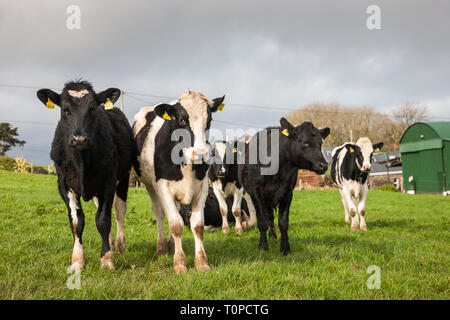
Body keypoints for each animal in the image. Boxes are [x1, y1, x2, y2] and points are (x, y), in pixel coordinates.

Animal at [36, 80, 137, 270]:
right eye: (65, 109)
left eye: (92, 108)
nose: (80, 139)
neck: (81, 161)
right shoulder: (64, 184)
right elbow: (77, 222)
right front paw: (77, 260)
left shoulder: (108, 182)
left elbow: (103, 220)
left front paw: (107, 260)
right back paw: (110, 243)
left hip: (124, 177)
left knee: (119, 211)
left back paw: (120, 245)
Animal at [134, 90, 225, 276]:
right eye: (182, 120)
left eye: (209, 120)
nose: (200, 154)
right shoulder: (163, 187)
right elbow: (176, 225)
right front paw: (180, 263)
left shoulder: (202, 189)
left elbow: (197, 226)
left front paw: (201, 263)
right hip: (149, 185)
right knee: (159, 213)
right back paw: (162, 247)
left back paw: (170, 244)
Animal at [239, 117, 330, 255]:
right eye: (305, 143)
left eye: (320, 143)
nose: (323, 165)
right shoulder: (256, 192)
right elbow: (262, 221)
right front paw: (263, 246)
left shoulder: (288, 192)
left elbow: (283, 222)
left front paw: (285, 248)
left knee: (271, 216)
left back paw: (273, 235)